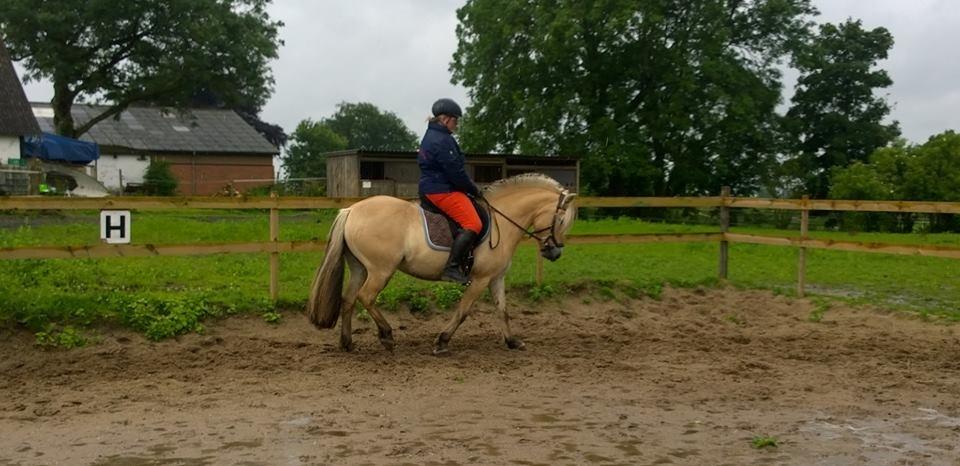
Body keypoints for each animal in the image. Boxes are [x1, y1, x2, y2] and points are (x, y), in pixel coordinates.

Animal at [308, 174, 576, 354]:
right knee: (366, 297)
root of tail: (351, 210)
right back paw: (386, 336)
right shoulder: (480, 279)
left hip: (360, 268)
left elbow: (503, 310)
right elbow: (463, 310)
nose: (555, 252)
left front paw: (512, 341)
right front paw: (442, 341)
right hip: (380, 270)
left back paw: (347, 343)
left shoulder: (496, 277)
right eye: (562, 220)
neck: (502, 220)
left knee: (349, 299)